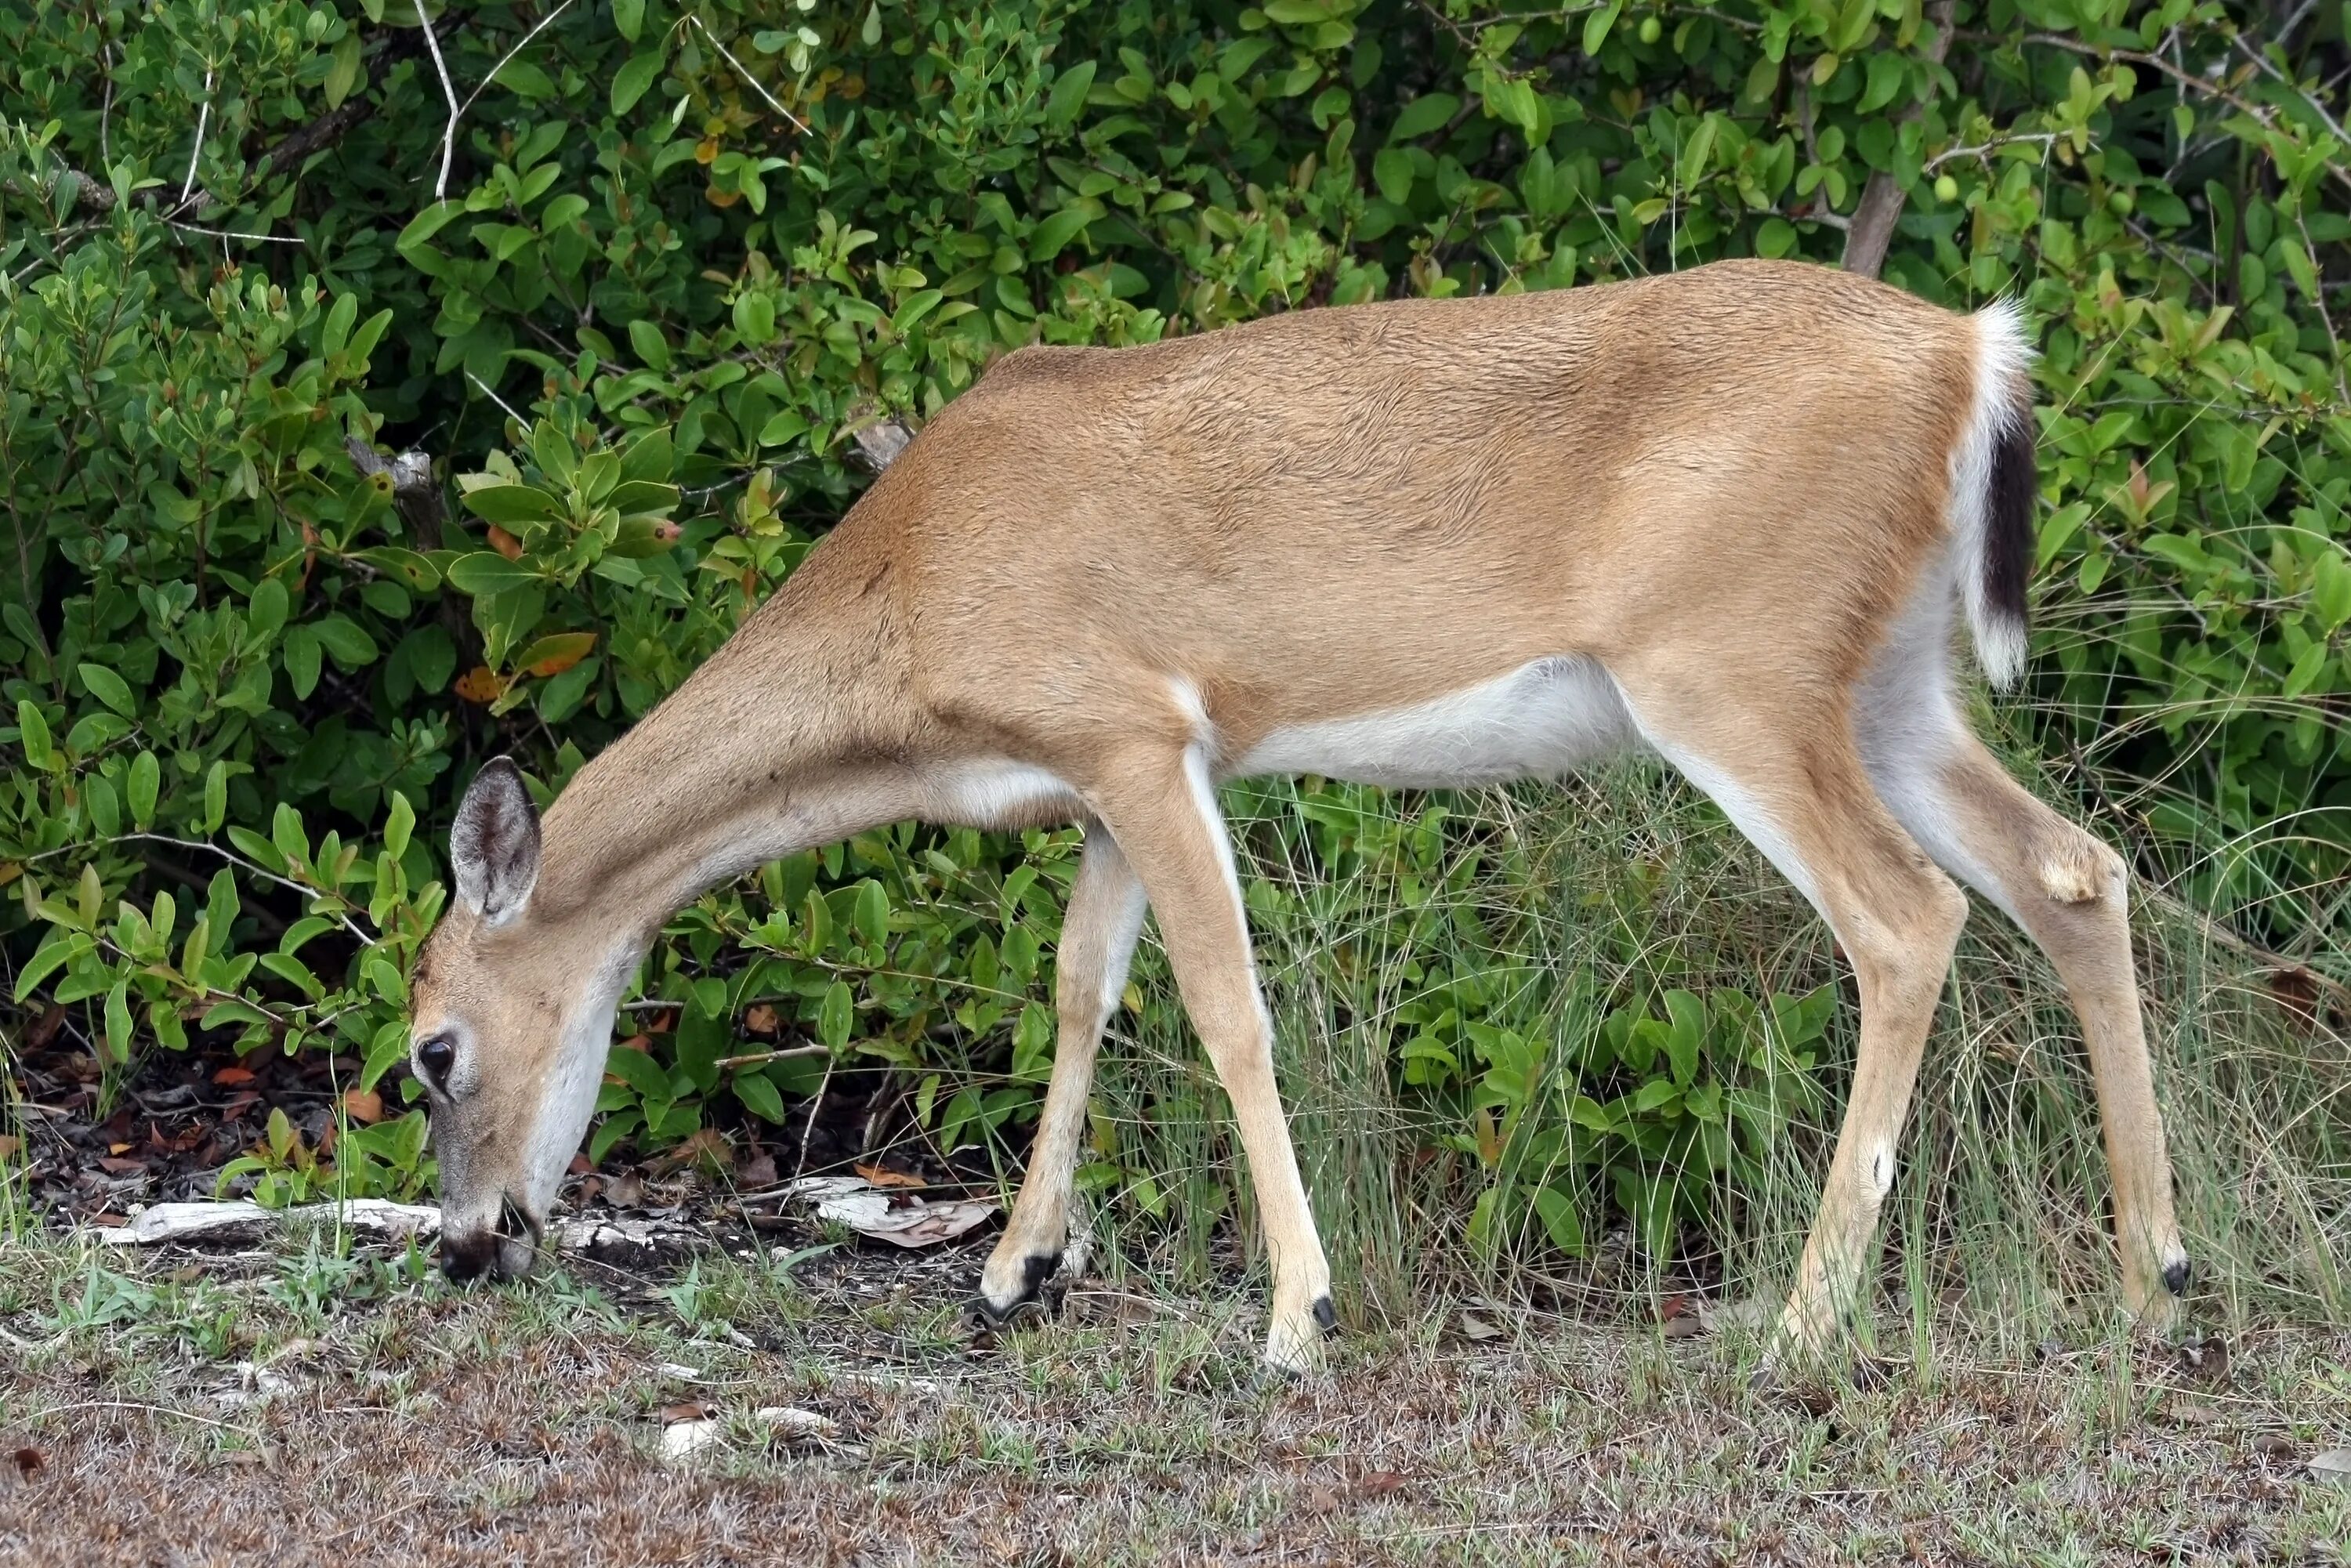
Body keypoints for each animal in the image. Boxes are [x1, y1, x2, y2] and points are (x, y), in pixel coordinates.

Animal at [414, 263, 2191, 1382]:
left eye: (432, 1047)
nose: (465, 1246)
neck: (910, 603)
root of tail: (1974, 350)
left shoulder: (1136, 727)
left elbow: (1223, 1010)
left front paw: (1295, 1319)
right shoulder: (1109, 772)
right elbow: (1083, 987)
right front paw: (1015, 1272)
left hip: (1733, 667)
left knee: (1909, 918)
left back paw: (1808, 1322)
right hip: (1888, 682)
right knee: (2073, 868)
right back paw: (2154, 1283)